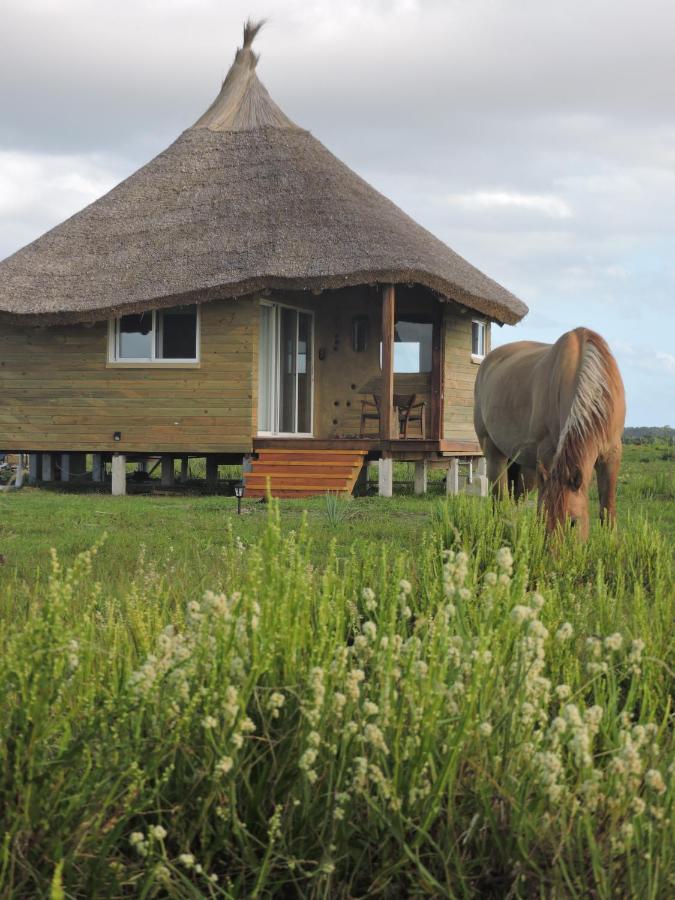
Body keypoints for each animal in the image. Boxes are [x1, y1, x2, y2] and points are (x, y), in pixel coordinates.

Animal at [476, 330, 628, 540]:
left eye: (573, 522)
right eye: (543, 521)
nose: (554, 550)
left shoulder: (612, 454)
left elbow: (608, 508)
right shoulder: (548, 453)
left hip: (527, 468)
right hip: (493, 453)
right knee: (499, 499)